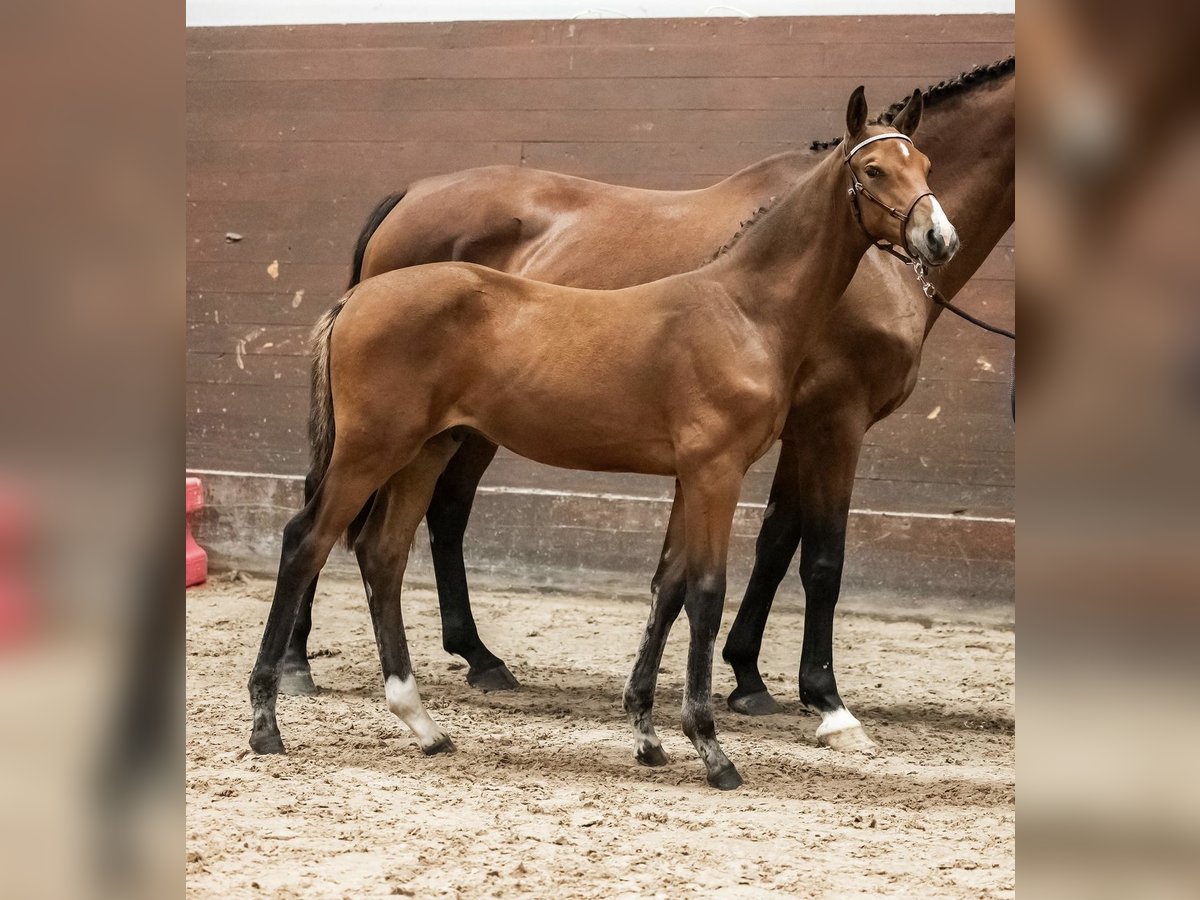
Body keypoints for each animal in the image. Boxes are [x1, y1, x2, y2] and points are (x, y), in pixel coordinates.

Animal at [280, 58, 1012, 753]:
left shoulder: (786, 433)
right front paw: (826, 704)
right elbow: (820, 559)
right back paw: (294, 662)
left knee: (438, 515)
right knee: (328, 511)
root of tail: (407, 196)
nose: (937, 239)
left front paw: (747, 679)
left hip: (455, 430)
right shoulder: (835, 420)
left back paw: (478, 660)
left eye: (928, 166)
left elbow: (773, 539)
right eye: (873, 169)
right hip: (393, 433)